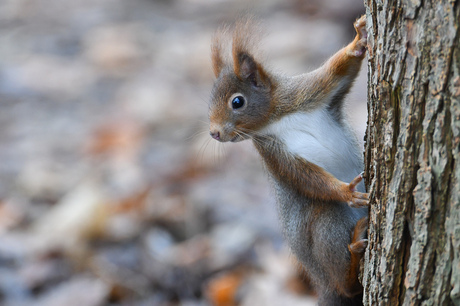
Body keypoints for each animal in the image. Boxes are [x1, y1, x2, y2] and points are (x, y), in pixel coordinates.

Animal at [208, 14, 370, 306]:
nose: (214, 133)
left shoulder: (309, 92)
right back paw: (352, 258)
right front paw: (347, 192)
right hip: (326, 223)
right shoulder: (274, 153)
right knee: (345, 287)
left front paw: (359, 39)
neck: (275, 118)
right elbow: (304, 176)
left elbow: (338, 71)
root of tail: (321, 283)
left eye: (237, 102)